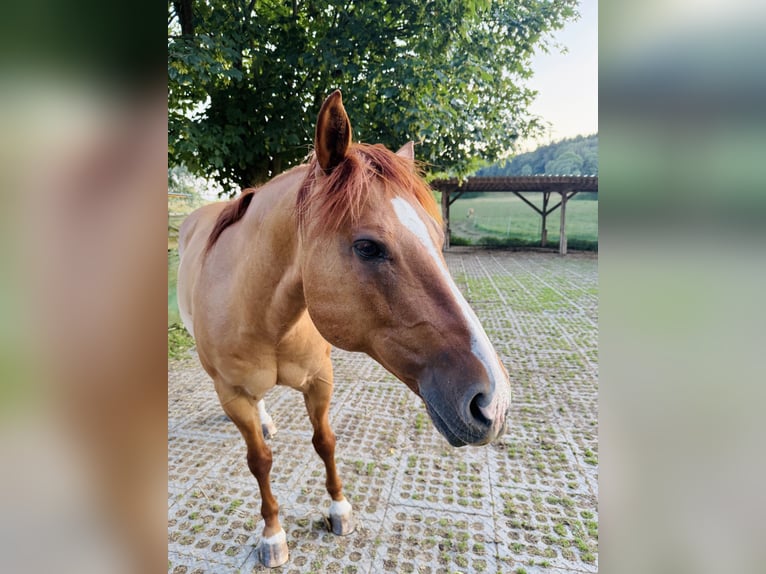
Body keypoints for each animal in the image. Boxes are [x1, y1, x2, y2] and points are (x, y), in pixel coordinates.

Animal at [176, 90, 511, 567]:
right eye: (367, 246)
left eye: (437, 236)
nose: (493, 403)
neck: (264, 317)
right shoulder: (233, 394)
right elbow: (259, 461)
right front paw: (273, 534)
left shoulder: (320, 380)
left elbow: (326, 442)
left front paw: (340, 509)